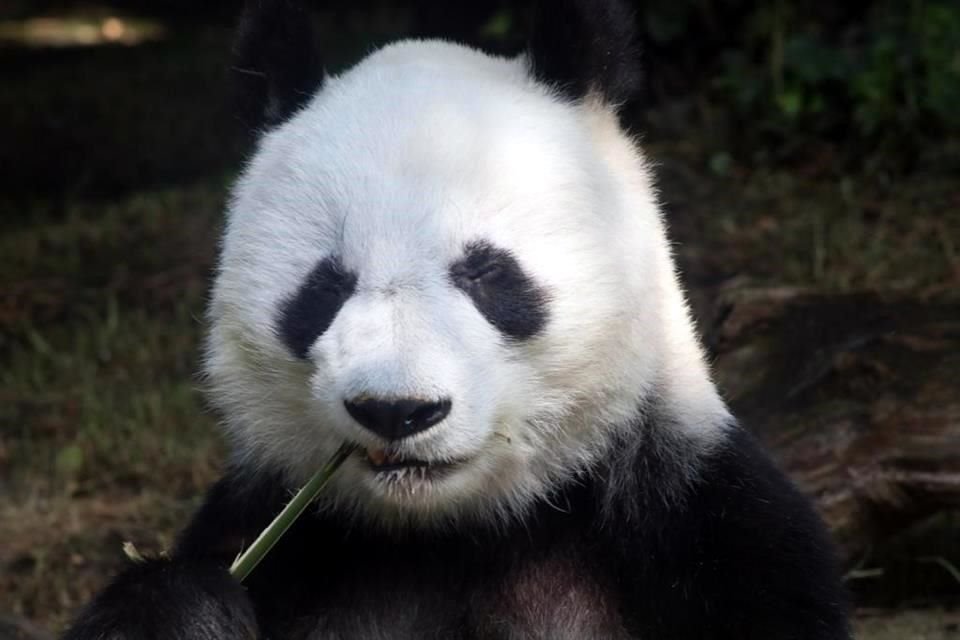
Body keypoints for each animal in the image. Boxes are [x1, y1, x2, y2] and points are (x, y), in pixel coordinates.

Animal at [63, 0, 851, 638]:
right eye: (326, 287)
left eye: (486, 273)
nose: (397, 410)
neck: (454, 532)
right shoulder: (285, 527)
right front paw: (182, 609)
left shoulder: (698, 526)